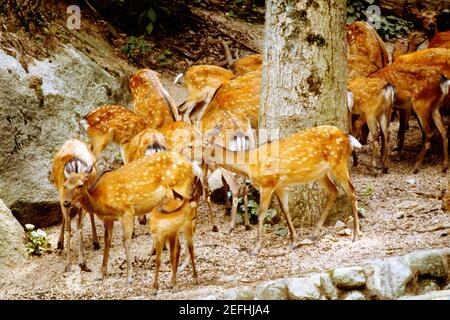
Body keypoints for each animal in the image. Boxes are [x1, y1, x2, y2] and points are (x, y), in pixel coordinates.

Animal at [62, 151, 201, 284]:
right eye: (65, 185)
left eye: (80, 185)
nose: (66, 202)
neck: (100, 199)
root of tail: (192, 166)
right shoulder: (108, 219)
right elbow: (107, 242)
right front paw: (101, 275)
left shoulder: (127, 211)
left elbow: (126, 241)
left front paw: (129, 277)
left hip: (179, 192)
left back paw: (181, 269)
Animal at [202, 124, 360, 254]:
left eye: (199, 145)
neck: (249, 164)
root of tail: (346, 137)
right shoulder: (279, 184)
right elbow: (285, 209)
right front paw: (295, 241)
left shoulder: (267, 183)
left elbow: (261, 214)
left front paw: (256, 248)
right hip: (321, 173)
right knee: (334, 191)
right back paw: (314, 233)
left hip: (338, 162)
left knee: (351, 190)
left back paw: (356, 235)